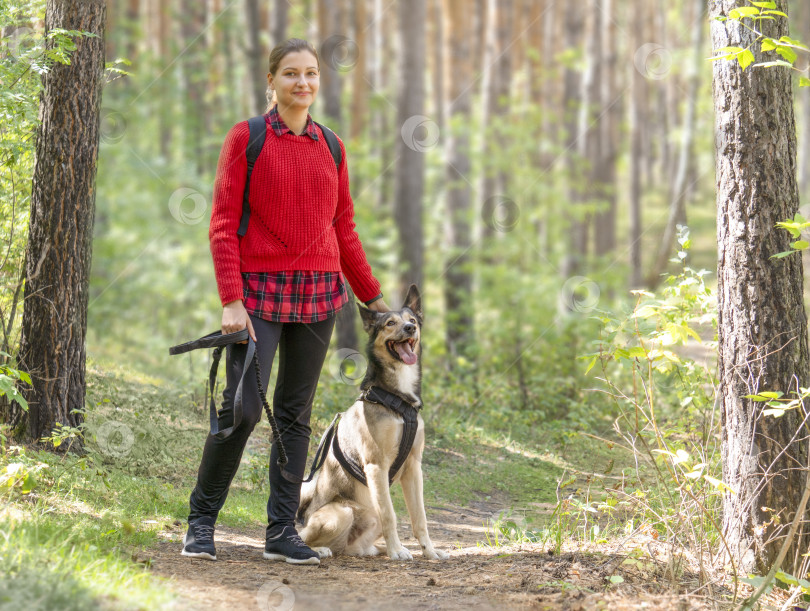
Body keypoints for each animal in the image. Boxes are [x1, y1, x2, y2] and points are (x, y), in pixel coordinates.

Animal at [296, 284, 448, 560]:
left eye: (412, 321)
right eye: (390, 323)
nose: (409, 328)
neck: (398, 399)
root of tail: (345, 547)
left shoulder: (414, 466)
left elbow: (419, 518)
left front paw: (430, 551)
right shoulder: (376, 465)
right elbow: (391, 515)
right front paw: (398, 551)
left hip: (367, 520)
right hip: (342, 513)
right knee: (305, 536)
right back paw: (319, 549)